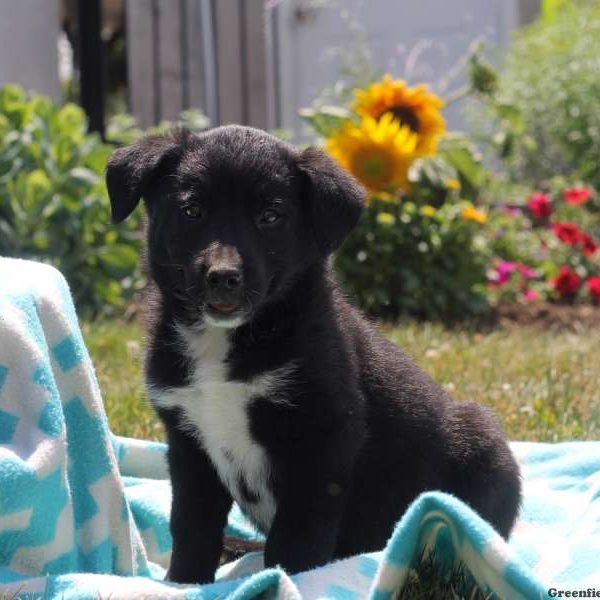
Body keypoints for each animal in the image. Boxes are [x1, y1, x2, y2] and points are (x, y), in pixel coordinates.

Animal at [106, 125, 520, 580]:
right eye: (192, 210)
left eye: (271, 216)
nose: (223, 277)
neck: (227, 340)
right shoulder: (188, 442)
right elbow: (191, 522)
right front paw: (183, 582)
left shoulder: (324, 437)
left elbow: (298, 530)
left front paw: (289, 579)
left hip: (483, 446)